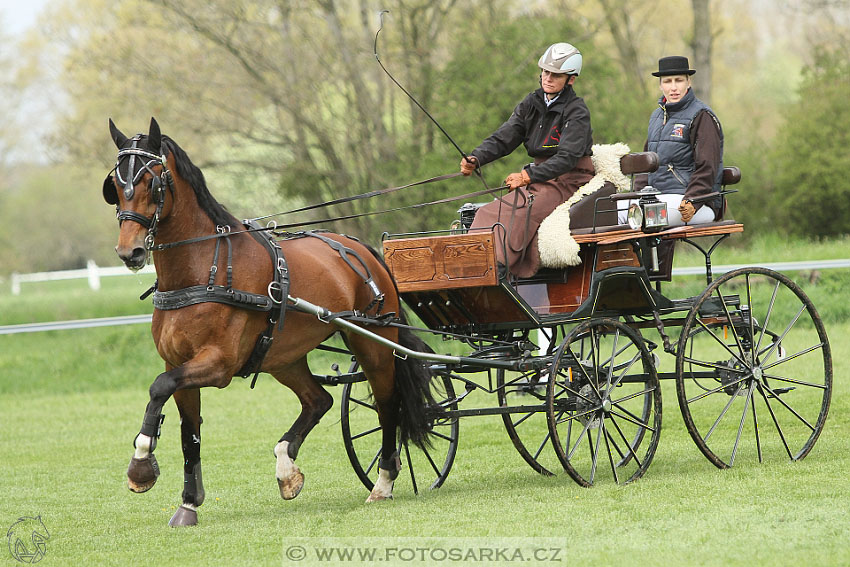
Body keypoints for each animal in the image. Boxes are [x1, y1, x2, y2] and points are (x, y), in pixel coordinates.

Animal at [102, 118, 438, 528]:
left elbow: (157, 388)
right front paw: (188, 503)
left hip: (373, 342)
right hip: (283, 357)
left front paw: (141, 467)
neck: (205, 270)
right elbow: (188, 432)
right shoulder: (178, 363)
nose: (129, 252)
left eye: (152, 182)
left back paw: (383, 482)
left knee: (387, 403)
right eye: (114, 185)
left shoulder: (219, 364)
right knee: (319, 400)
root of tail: (361, 248)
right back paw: (286, 468)